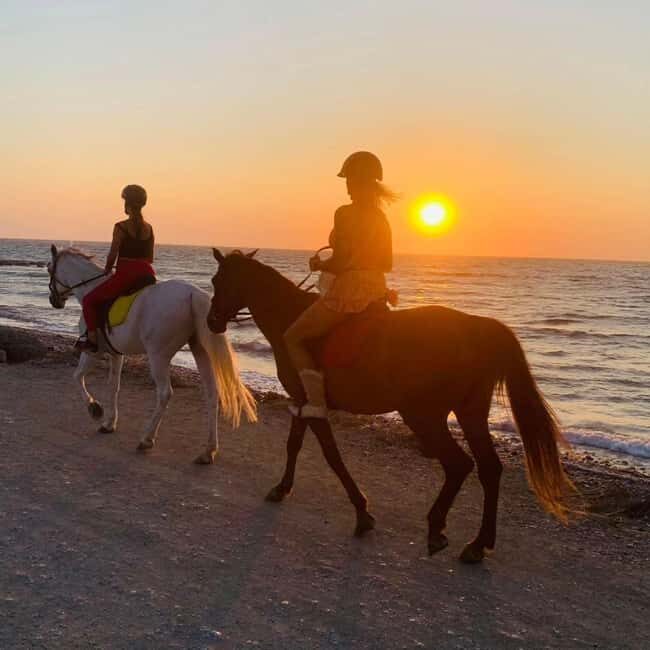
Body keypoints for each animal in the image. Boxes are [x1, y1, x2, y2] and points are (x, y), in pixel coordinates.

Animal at [47, 245, 256, 463]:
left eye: (49, 268)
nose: (54, 300)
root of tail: (192, 293)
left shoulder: (92, 352)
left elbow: (77, 377)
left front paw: (95, 409)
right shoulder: (117, 354)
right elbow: (113, 387)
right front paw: (109, 423)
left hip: (158, 356)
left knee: (165, 393)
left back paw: (146, 439)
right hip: (200, 350)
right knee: (212, 393)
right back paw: (208, 451)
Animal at [206, 249, 573, 563]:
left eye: (217, 281)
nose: (212, 321)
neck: (289, 316)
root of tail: (478, 327)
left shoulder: (310, 400)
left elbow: (331, 455)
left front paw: (362, 512)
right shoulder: (303, 400)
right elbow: (294, 444)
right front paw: (282, 488)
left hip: (425, 416)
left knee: (459, 464)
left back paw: (437, 528)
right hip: (470, 414)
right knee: (489, 469)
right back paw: (478, 544)